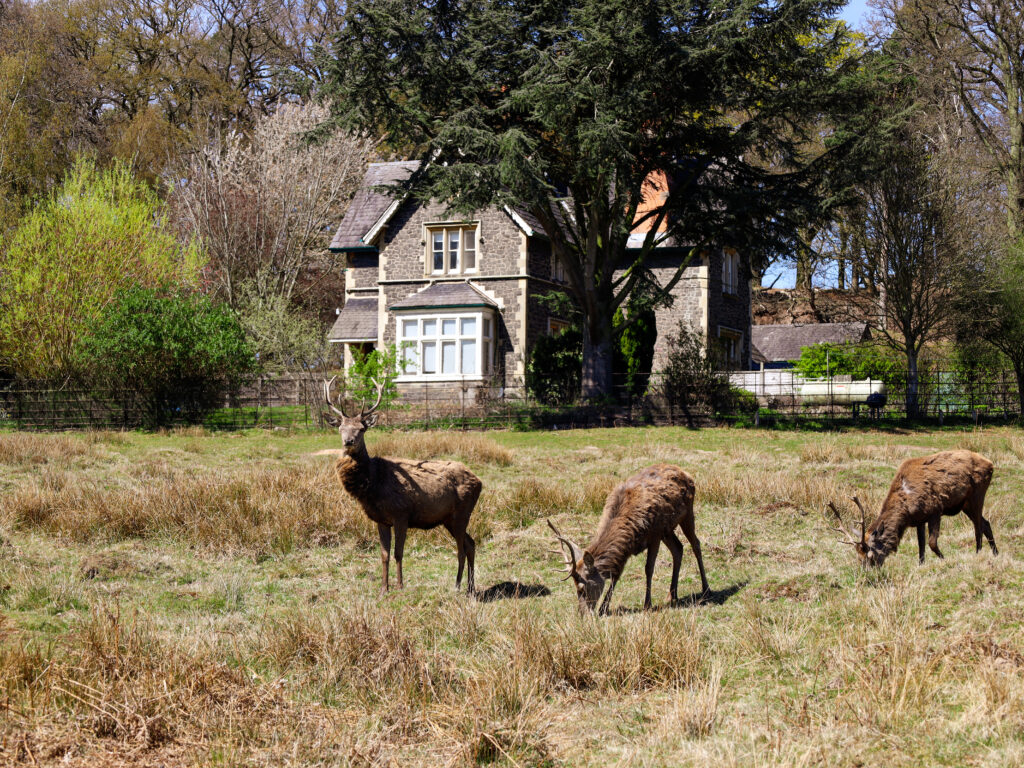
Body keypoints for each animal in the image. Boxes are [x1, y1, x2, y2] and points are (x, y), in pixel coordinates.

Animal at [323, 378, 483, 593]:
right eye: (340, 428)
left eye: (362, 429)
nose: (349, 441)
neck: (373, 484)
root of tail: (479, 481)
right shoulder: (381, 520)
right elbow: (384, 554)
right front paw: (383, 588)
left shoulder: (401, 513)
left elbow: (398, 552)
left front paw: (399, 585)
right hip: (448, 518)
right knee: (470, 543)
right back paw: (470, 587)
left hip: (462, 513)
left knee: (461, 548)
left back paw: (457, 586)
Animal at [548, 462, 708, 618]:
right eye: (575, 587)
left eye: (583, 588)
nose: (583, 615)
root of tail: (685, 473)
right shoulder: (626, 549)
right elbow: (616, 574)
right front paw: (603, 608)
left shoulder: (655, 535)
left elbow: (649, 568)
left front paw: (647, 604)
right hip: (667, 529)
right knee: (678, 549)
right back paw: (671, 595)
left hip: (686, 513)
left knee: (696, 545)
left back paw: (705, 589)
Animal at [827, 448, 995, 569]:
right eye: (857, 557)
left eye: (870, 556)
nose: (868, 574)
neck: (906, 512)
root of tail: (991, 464)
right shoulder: (919, 519)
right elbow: (921, 544)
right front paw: (921, 565)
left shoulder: (935, 510)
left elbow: (931, 543)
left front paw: (945, 560)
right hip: (965, 504)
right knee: (986, 523)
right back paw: (995, 553)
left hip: (977, 493)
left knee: (978, 527)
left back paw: (978, 553)